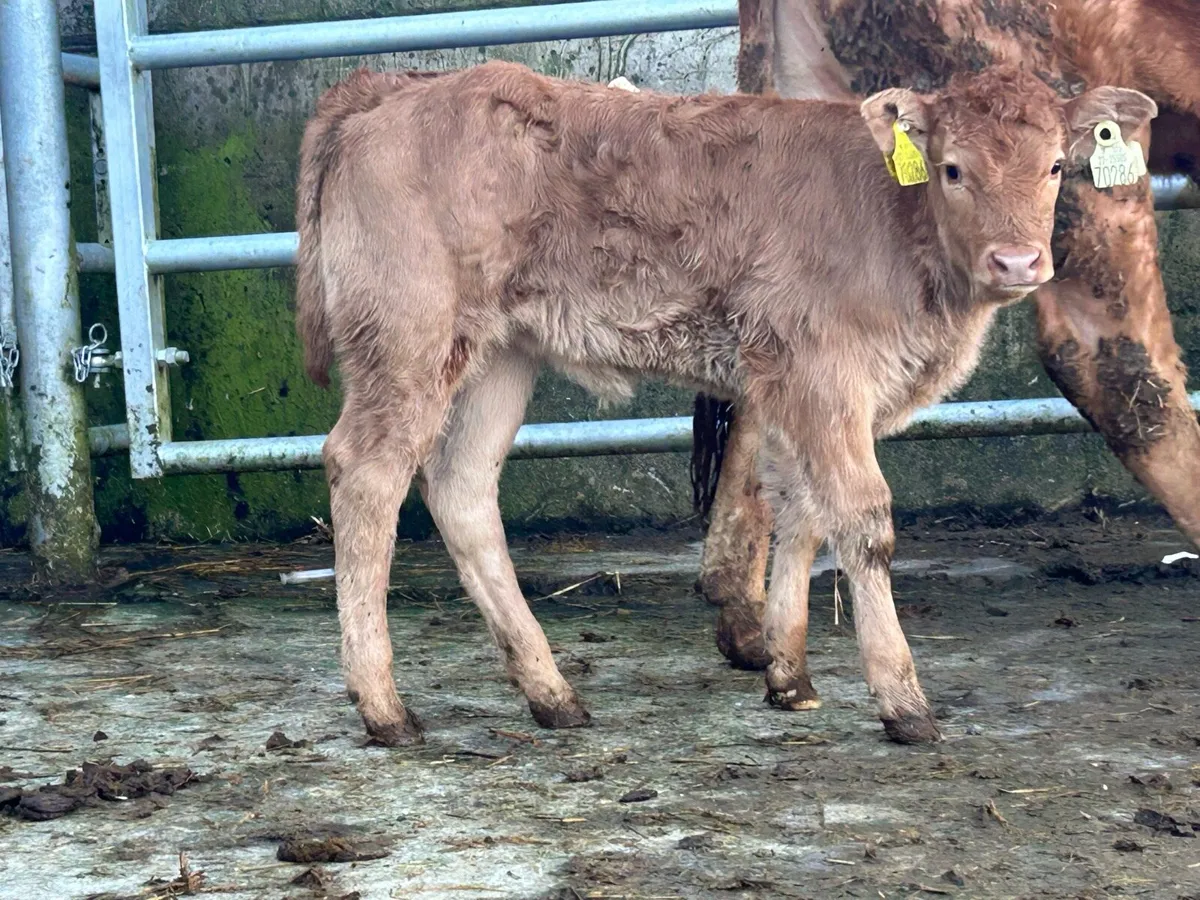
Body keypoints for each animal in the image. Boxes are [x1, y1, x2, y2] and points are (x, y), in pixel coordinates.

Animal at [295, 59, 1155, 746]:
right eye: (950, 168)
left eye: (1055, 166)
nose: (1017, 261)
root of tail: (393, 87)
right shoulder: (826, 376)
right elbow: (862, 520)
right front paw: (903, 701)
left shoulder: (789, 388)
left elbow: (799, 514)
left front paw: (788, 675)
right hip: (407, 337)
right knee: (366, 473)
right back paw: (384, 707)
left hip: (501, 354)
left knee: (463, 487)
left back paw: (552, 694)